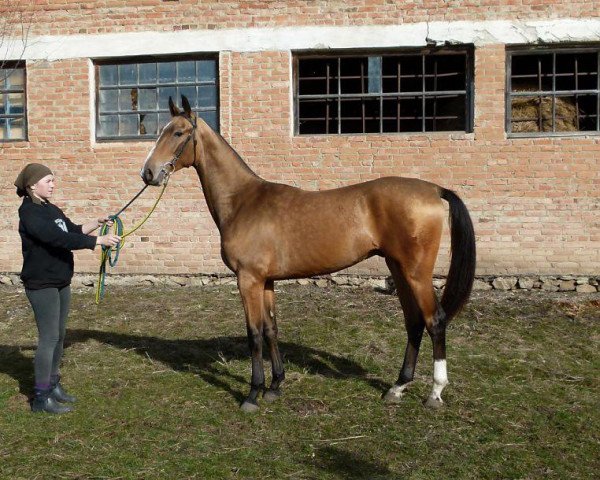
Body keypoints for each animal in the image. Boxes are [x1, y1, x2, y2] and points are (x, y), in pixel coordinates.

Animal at [142, 96, 478, 412]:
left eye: (178, 132)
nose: (148, 173)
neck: (243, 201)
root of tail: (433, 189)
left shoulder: (248, 280)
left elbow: (254, 334)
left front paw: (253, 394)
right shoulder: (266, 281)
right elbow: (271, 329)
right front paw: (275, 386)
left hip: (416, 272)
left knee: (435, 320)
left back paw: (435, 392)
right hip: (398, 268)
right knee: (413, 322)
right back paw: (397, 388)